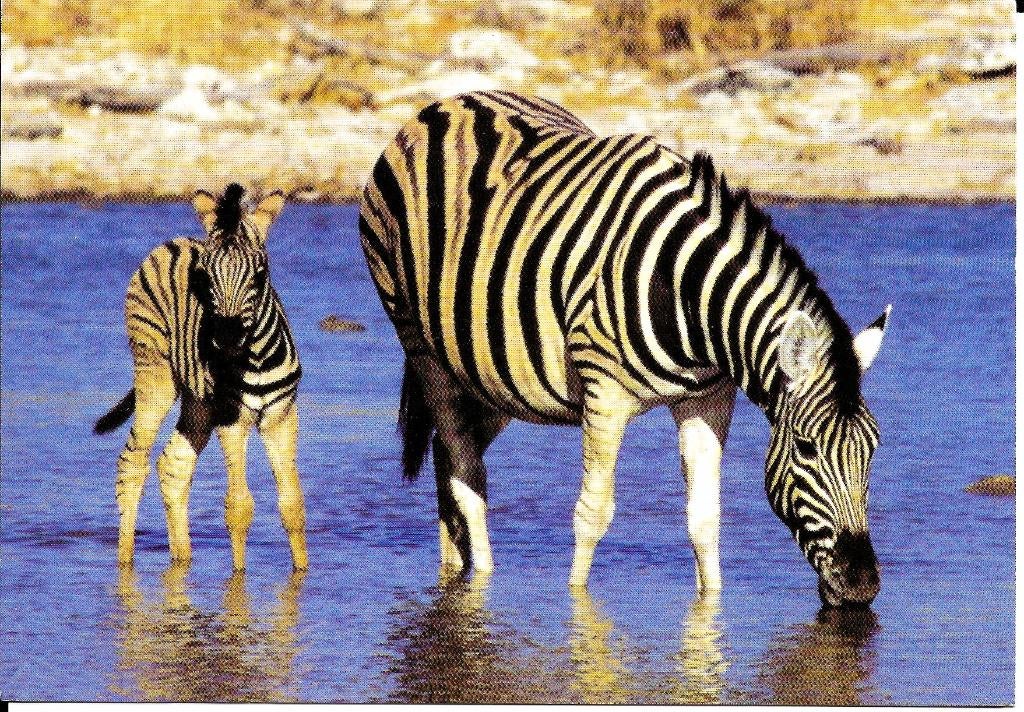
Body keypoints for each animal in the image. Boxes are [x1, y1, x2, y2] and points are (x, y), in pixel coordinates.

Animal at [94, 184, 307, 572]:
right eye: (205, 276)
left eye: (260, 274)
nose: (225, 338)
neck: (254, 357)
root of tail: (174, 241)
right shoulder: (232, 418)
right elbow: (239, 507)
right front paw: (238, 579)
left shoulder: (281, 415)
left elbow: (293, 505)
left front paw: (302, 573)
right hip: (156, 376)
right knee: (133, 462)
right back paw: (125, 562)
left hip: (199, 399)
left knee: (173, 465)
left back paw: (182, 558)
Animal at [359, 91, 891, 608]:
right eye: (806, 448)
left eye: (873, 448)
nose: (861, 586)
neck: (688, 295)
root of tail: (447, 103)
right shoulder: (605, 398)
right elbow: (593, 513)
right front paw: (578, 608)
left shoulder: (707, 399)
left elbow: (704, 517)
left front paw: (711, 611)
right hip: (422, 345)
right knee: (466, 471)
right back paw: (480, 583)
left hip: (494, 373)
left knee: (450, 458)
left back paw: (455, 567)